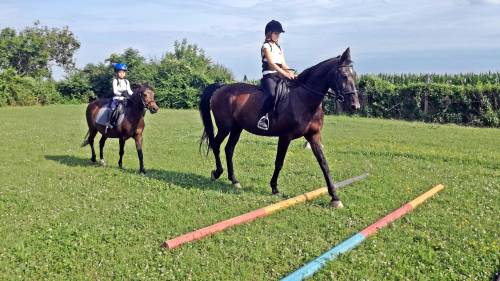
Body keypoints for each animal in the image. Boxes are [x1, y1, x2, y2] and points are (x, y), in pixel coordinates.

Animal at [199, 47, 360, 207]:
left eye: (354, 76)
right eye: (344, 76)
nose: (355, 106)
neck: (303, 99)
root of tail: (221, 87)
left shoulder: (313, 136)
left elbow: (324, 164)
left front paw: (335, 198)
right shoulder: (285, 136)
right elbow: (279, 162)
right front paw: (274, 188)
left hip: (237, 128)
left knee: (229, 149)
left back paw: (234, 180)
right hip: (225, 127)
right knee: (216, 145)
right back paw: (217, 173)